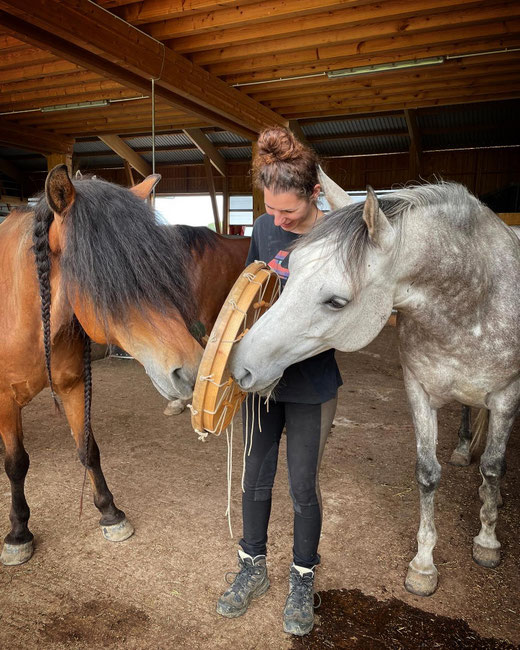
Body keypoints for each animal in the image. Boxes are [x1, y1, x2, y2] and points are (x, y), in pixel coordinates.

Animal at [0, 165, 204, 566]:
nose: (190, 371)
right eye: (107, 279)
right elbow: (16, 463)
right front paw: (18, 533)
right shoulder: (4, 400)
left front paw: (110, 513)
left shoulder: (74, 386)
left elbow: (88, 449)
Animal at [230, 181, 520, 596]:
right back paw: (464, 449)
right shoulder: (419, 389)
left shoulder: (507, 396)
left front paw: (487, 542)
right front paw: (423, 565)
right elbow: (427, 473)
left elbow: (494, 468)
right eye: (291, 269)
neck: (474, 297)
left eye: (336, 301)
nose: (241, 365)